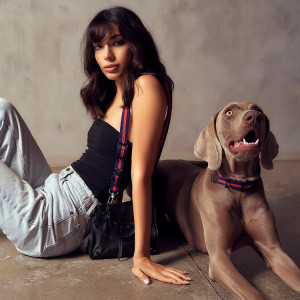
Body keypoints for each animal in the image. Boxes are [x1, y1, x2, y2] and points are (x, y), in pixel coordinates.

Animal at [154, 102, 300, 298]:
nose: (254, 117)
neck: (239, 186)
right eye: (229, 112)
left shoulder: (274, 250)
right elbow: (253, 293)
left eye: (259, 110)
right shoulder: (219, 258)